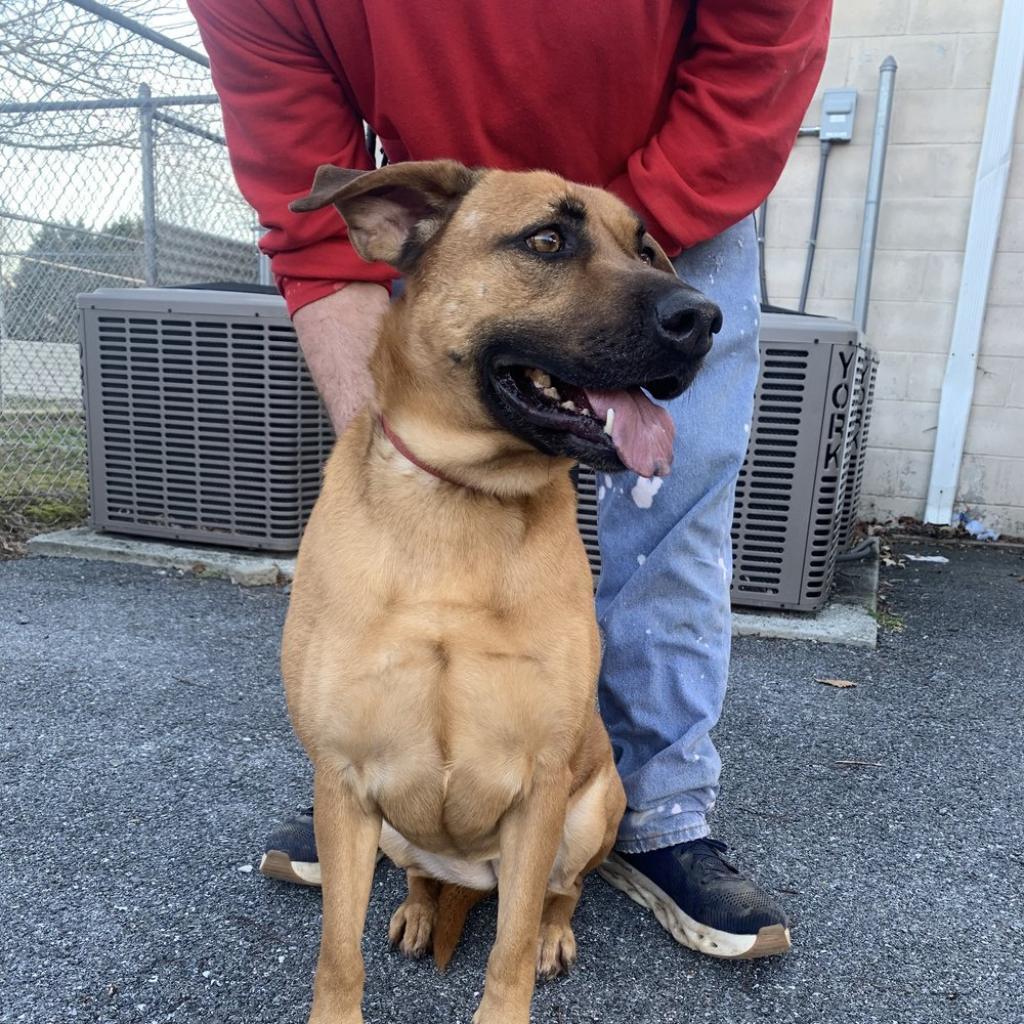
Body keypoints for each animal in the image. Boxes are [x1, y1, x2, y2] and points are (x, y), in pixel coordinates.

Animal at [282, 161, 720, 1024]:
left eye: (647, 249)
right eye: (547, 240)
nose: (705, 318)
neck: (463, 501)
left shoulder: (541, 788)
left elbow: (509, 950)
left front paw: (524, 963)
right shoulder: (343, 784)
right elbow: (337, 957)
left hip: (592, 807)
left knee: (561, 892)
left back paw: (553, 932)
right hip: (391, 832)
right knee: (422, 874)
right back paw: (419, 909)